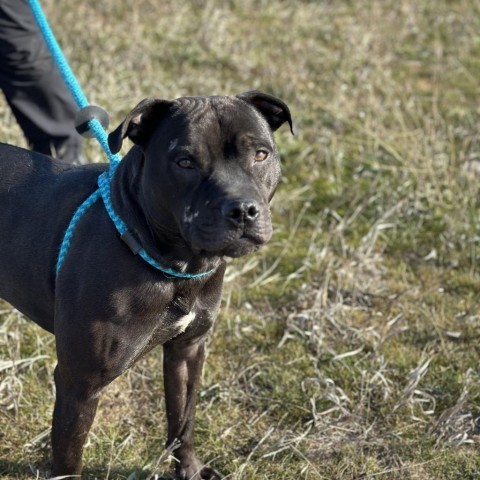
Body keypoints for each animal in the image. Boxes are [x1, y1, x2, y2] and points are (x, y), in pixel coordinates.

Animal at [0, 92, 292, 478]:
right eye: (184, 162)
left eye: (260, 154)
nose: (243, 209)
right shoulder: (79, 385)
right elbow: (68, 458)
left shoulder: (188, 350)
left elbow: (182, 421)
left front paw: (189, 469)